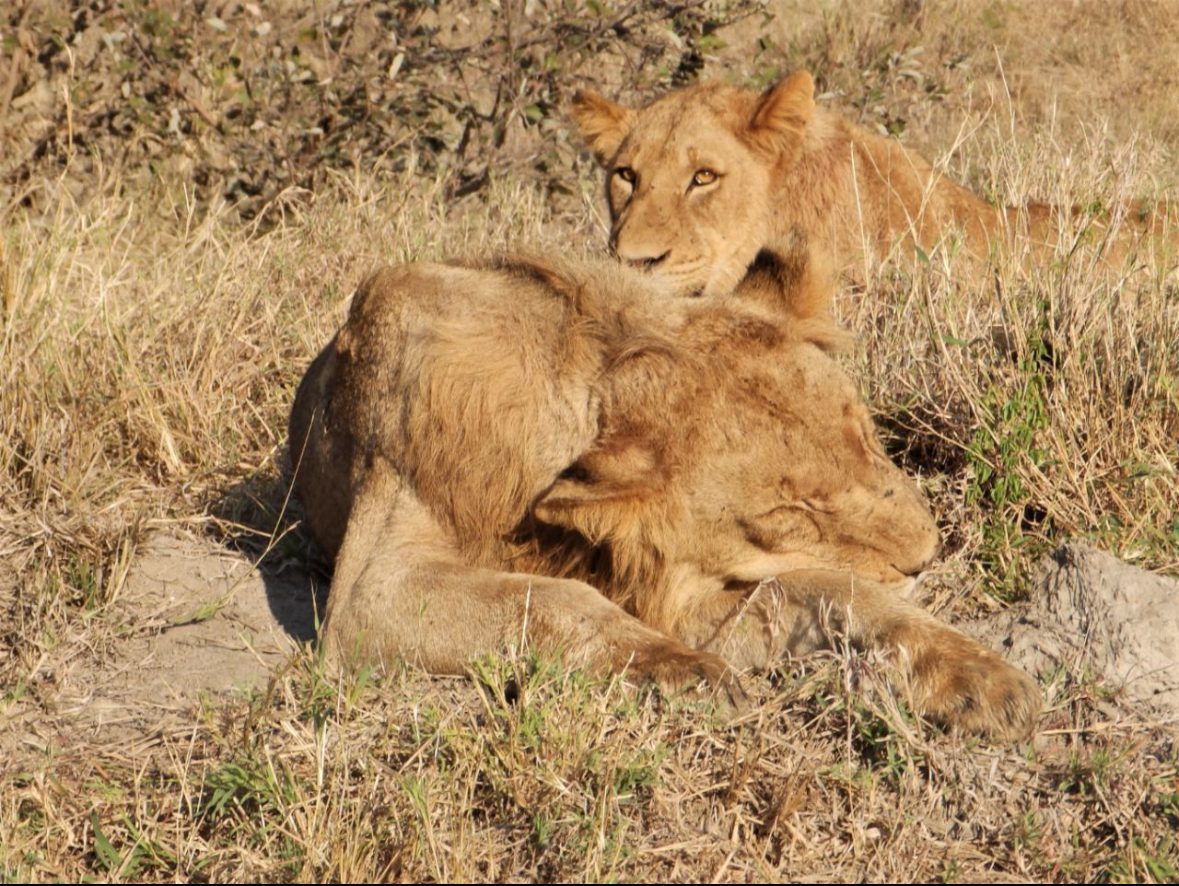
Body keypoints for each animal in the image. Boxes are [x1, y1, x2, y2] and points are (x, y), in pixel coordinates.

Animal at [288, 244, 1040, 740]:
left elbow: (833, 592)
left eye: (864, 433)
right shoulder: (372, 595)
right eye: (788, 513)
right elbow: (552, 600)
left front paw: (977, 676)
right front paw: (688, 674)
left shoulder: (683, 592)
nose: (927, 556)